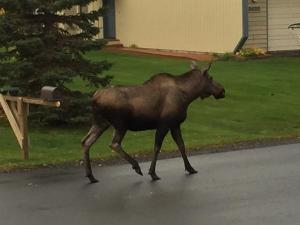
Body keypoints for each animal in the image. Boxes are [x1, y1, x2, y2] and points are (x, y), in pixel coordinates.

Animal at [81, 61, 224, 183]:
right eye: (211, 77)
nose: (222, 90)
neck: (188, 96)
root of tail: (94, 97)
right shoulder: (164, 124)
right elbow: (157, 147)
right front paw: (153, 173)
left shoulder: (175, 124)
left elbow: (181, 145)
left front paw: (190, 168)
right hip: (120, 124)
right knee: (114, 143)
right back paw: (136, 166)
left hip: (100, 122)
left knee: (86, 141)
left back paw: (91, 176)